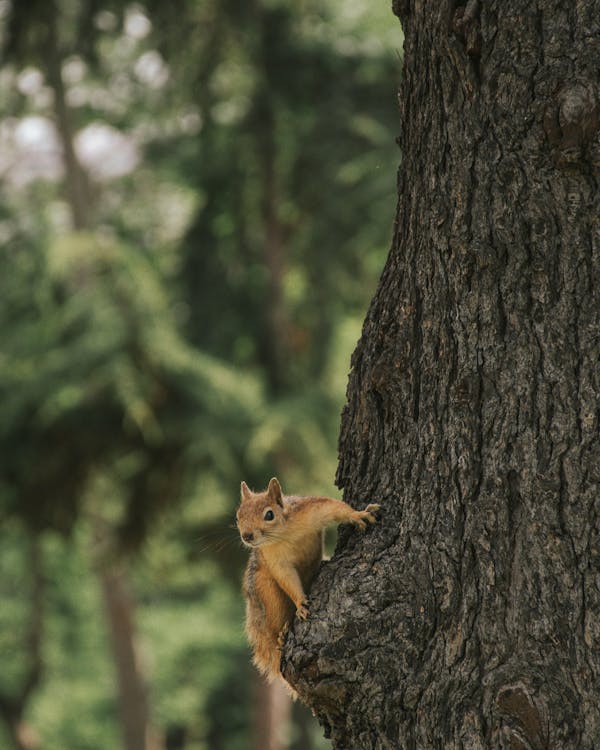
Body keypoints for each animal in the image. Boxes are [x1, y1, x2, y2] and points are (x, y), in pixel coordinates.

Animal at [236, 482, 380, 688]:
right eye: (238, 516)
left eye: (269, 515)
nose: (246, 536)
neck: (282, 534)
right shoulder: (274, 559)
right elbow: (287, 578)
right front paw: (301, 603)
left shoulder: (308, 511)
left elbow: (333, 507)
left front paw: (358, 515)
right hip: (267, 592)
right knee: (275, 619)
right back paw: (281, 634)